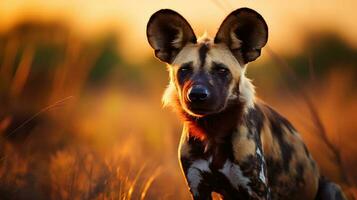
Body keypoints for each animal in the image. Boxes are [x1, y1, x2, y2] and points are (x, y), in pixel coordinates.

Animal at [145, 7, 344, 198]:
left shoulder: (256, 190)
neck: (213, 131)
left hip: (331, 188)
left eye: (221, 70)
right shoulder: (198, 188)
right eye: (184, 70)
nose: (198, 95)